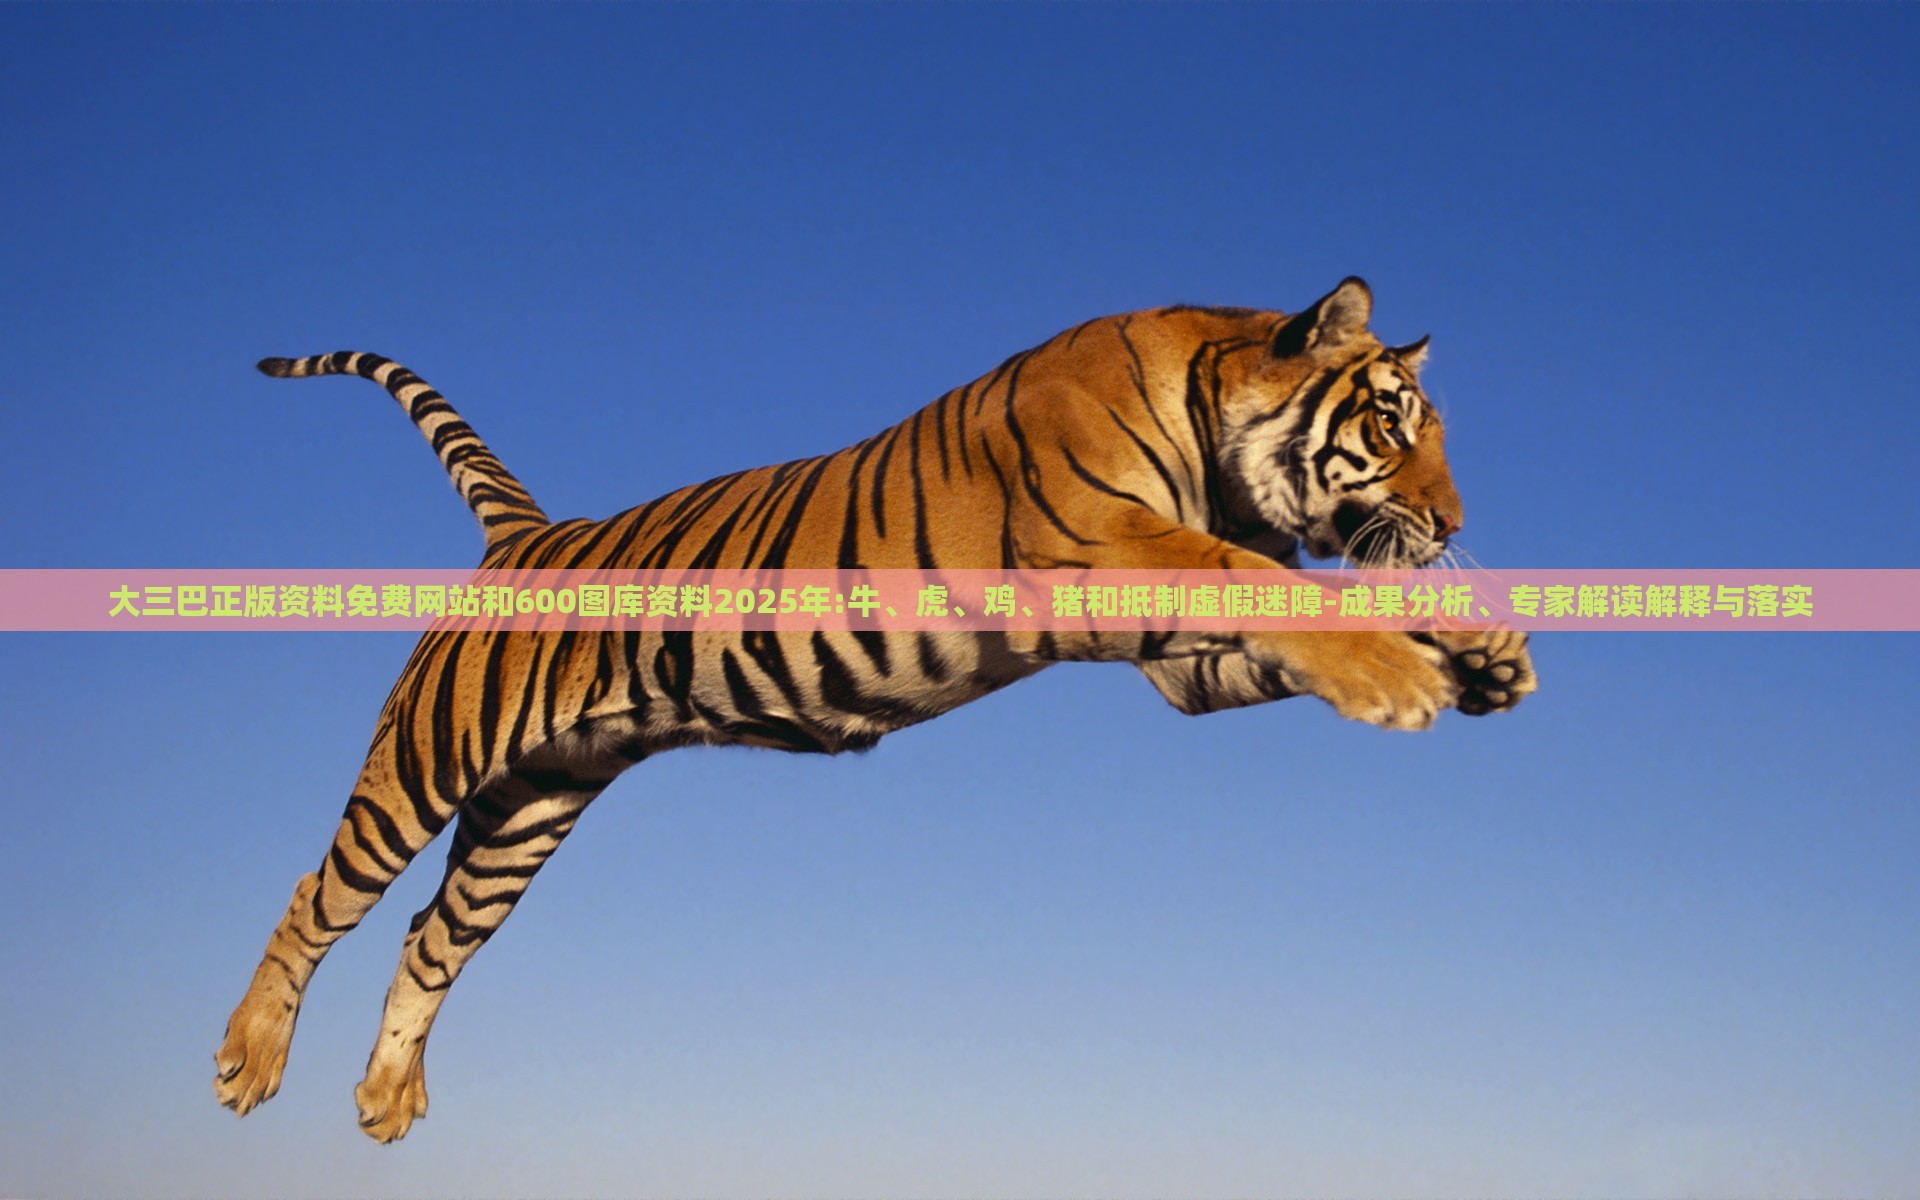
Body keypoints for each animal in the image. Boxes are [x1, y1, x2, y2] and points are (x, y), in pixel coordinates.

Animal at [213, 276, 1535, 1142]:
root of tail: (529, 533)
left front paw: (1482, 649)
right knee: (320, 893)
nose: (1455, 523)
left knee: (431, 936)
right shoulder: (1105, 550)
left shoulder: (1178, 666)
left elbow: (1306, 607)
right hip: (428, 760)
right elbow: (1271, 583)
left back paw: (386, 1101)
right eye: (1389, 425)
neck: (1216, 441)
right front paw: (1406, 679)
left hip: (532, 807)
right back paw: (247, 1060)